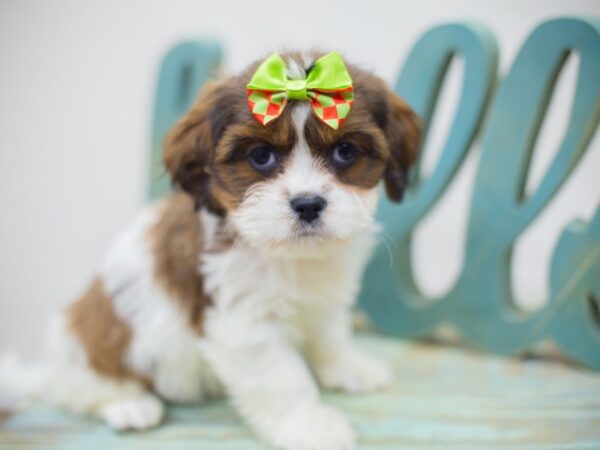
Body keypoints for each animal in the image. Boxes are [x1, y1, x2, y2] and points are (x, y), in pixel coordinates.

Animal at [49, 51, 420, 450]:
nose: (307, 204)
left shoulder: (324, 297)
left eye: (345, 151)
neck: (290, 256)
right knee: (82, 384)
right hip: (93, 338)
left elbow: (330, 332)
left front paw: (347, 367)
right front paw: (308, 425)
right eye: (260, 156)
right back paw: (129, 403)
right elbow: (280, 377)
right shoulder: (243, 320)